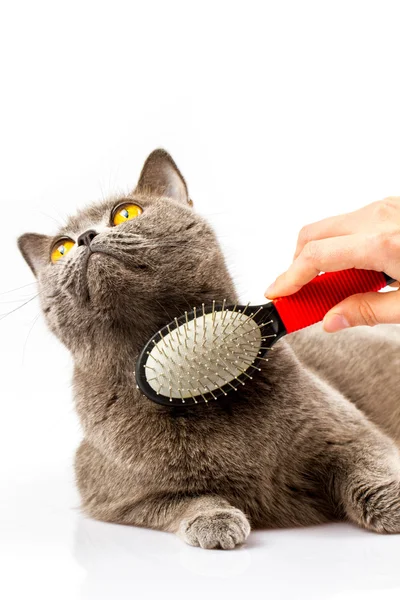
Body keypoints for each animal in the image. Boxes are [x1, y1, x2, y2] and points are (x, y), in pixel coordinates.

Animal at [18, 149, 400, 548]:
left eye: (126, 213)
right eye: (59, 249)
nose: (85, 237)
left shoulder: (350, 433)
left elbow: (367, 467)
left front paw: (394, 502)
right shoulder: (113, 493)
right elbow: (182, 500)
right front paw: (214, 521)